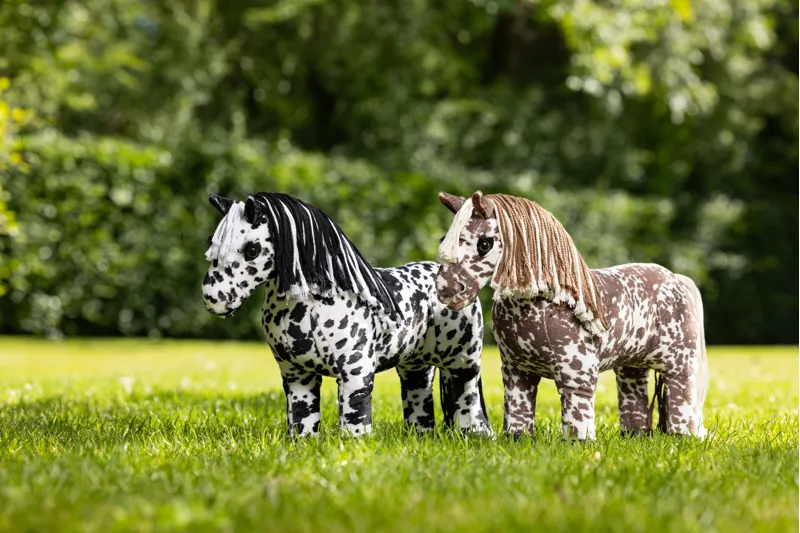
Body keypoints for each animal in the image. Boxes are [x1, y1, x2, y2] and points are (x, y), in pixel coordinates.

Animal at [202, 192, 491, 437]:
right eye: (212, 244)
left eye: (251, 249)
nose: (215, 299)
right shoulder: (297, 376)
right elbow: (303, 416)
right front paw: (304, 442)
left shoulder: (355, 374)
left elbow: (355, 415)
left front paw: (355, 443)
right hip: (415, 366)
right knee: (419, 397)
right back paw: (420, 436)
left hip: (464, 362)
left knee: (467, 394)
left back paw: (474, 436)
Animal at [434, 191, 708, 441]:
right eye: (444, 239)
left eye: (484, 243)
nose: (447, 289)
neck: (546, 303)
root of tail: (675, 278)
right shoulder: (517, 372)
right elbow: (518, 409)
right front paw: (518, 439)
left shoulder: (577, 374)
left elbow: (577, 411)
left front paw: (579, 442)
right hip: (631, 365)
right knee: (633, 394)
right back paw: (634, 435)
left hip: (678, 365)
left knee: (681, 394)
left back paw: (681, 436)